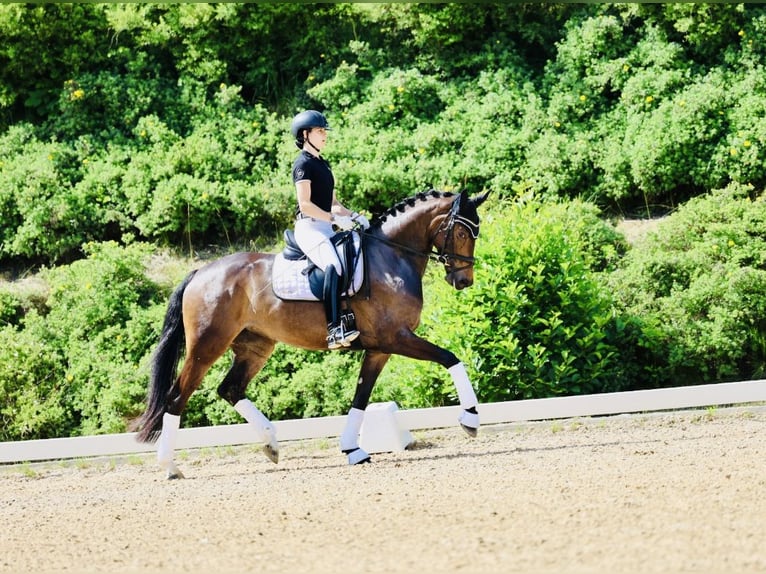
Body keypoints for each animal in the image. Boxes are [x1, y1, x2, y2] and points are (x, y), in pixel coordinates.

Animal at [135, 190, 488, 482]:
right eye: (460, 232)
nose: (463, 281)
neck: (390, 259)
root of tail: (200, 273)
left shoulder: (380, 347)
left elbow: (361, 397)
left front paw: (352, 450)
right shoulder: (396, 338)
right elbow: (451, 359)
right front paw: (470, 418)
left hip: (255, 347)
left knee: (230, 388)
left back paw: (271, 444)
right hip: (207, 346)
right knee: (177, 397)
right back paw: (170, 466)